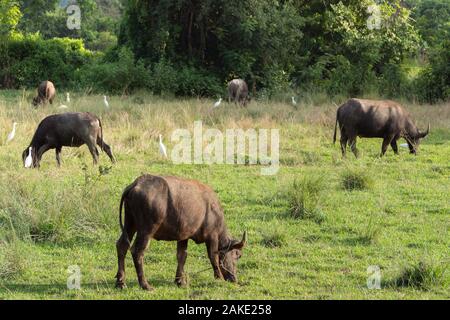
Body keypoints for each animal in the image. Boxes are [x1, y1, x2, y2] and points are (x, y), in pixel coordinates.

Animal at [116, 174, 248, 292]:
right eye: (238, 255)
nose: (234, 279)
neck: (211, 209)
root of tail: (136, 184)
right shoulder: (212, 237)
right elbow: (213, 257)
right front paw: (219, 277)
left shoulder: (183, 237)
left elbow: (182, 256)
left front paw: (180, 281)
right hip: (146, 230)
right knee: (137, 251)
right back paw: (145, 285)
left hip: (130, 223)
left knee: (122, 245)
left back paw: (121, 282)